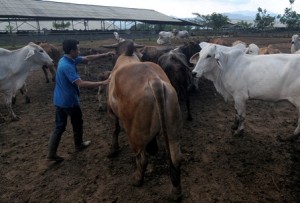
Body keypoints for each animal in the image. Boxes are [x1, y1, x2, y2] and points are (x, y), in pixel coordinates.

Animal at [103, 40, 183, 200]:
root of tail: (154, 80)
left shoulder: (111, 110)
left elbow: (115, 130)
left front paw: (113, 150)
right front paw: (153, 148)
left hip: (134, 133)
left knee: (142, 158)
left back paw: (137, 179)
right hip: (173, 126)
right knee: (175, 158)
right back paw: (176, 190)